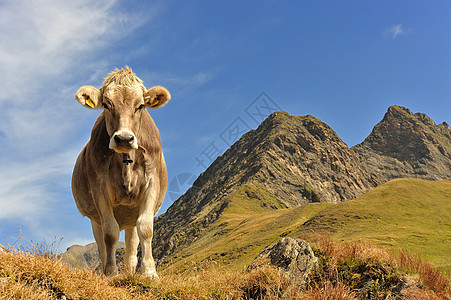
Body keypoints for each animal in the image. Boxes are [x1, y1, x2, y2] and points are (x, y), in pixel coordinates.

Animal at [71, 67, 170, 278]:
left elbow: (146, 228)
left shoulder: (152, 183)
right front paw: (111, 273)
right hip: (95, 219)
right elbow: (110, 233)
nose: (124, 138)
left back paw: (131, 272)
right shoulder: (99, 188)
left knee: (132, 246)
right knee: (102, 243)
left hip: (131, 214)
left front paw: (149, 272)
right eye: (106, 105)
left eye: (141, 105)